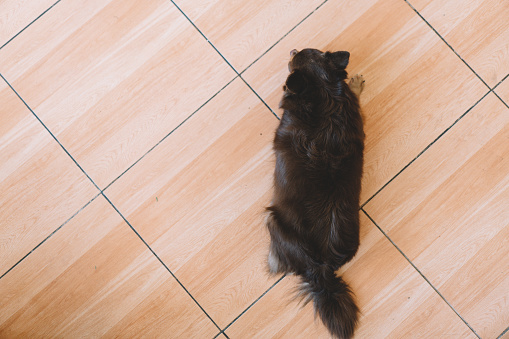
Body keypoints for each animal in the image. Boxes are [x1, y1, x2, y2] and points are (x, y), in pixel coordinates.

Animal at [266, 48, 366, 339]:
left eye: (293, 59)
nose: (291, 49)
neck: (324, 91)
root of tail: (319, 266)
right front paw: (354, 84)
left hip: (271, 219)